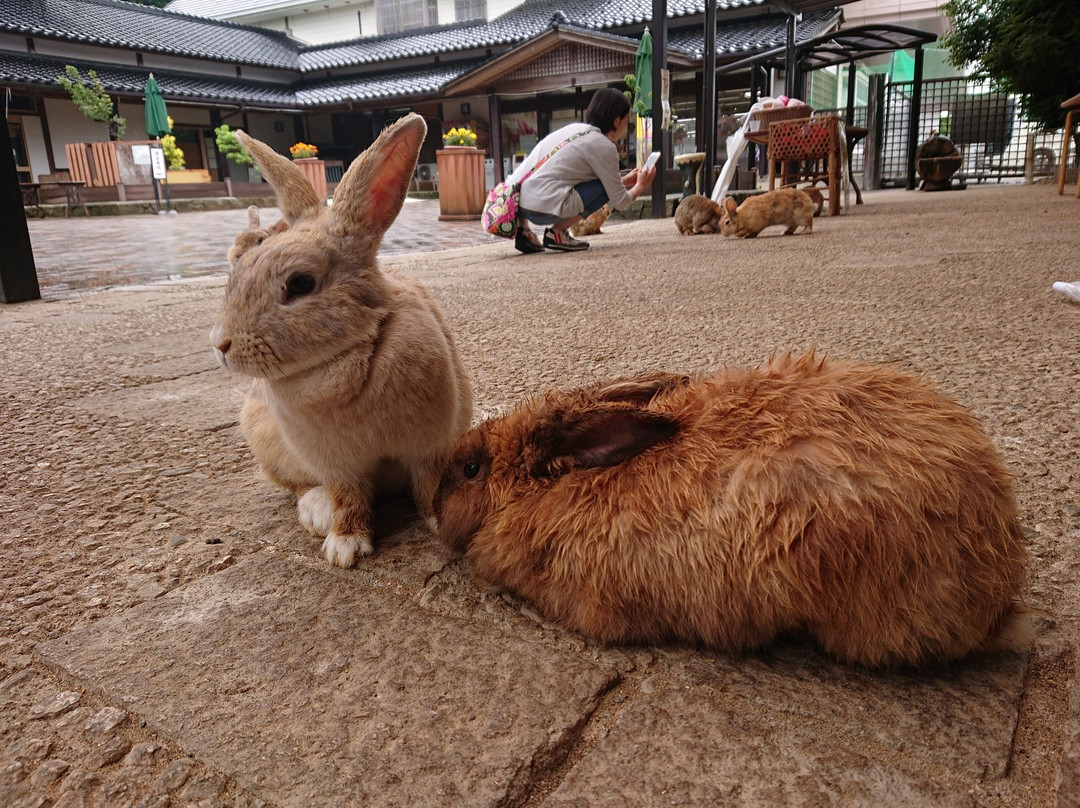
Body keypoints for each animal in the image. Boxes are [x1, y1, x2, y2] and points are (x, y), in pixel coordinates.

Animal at [210, 114, 474, 568]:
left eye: (300, 283)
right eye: (239, 268)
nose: (221, 344)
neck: (343, 358)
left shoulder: (429, 448)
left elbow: (429, 487)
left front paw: (442, 524)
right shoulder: (337, 466)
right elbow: (348, 498)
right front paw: (343, 548)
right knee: (300, 486)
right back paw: (317, 511)